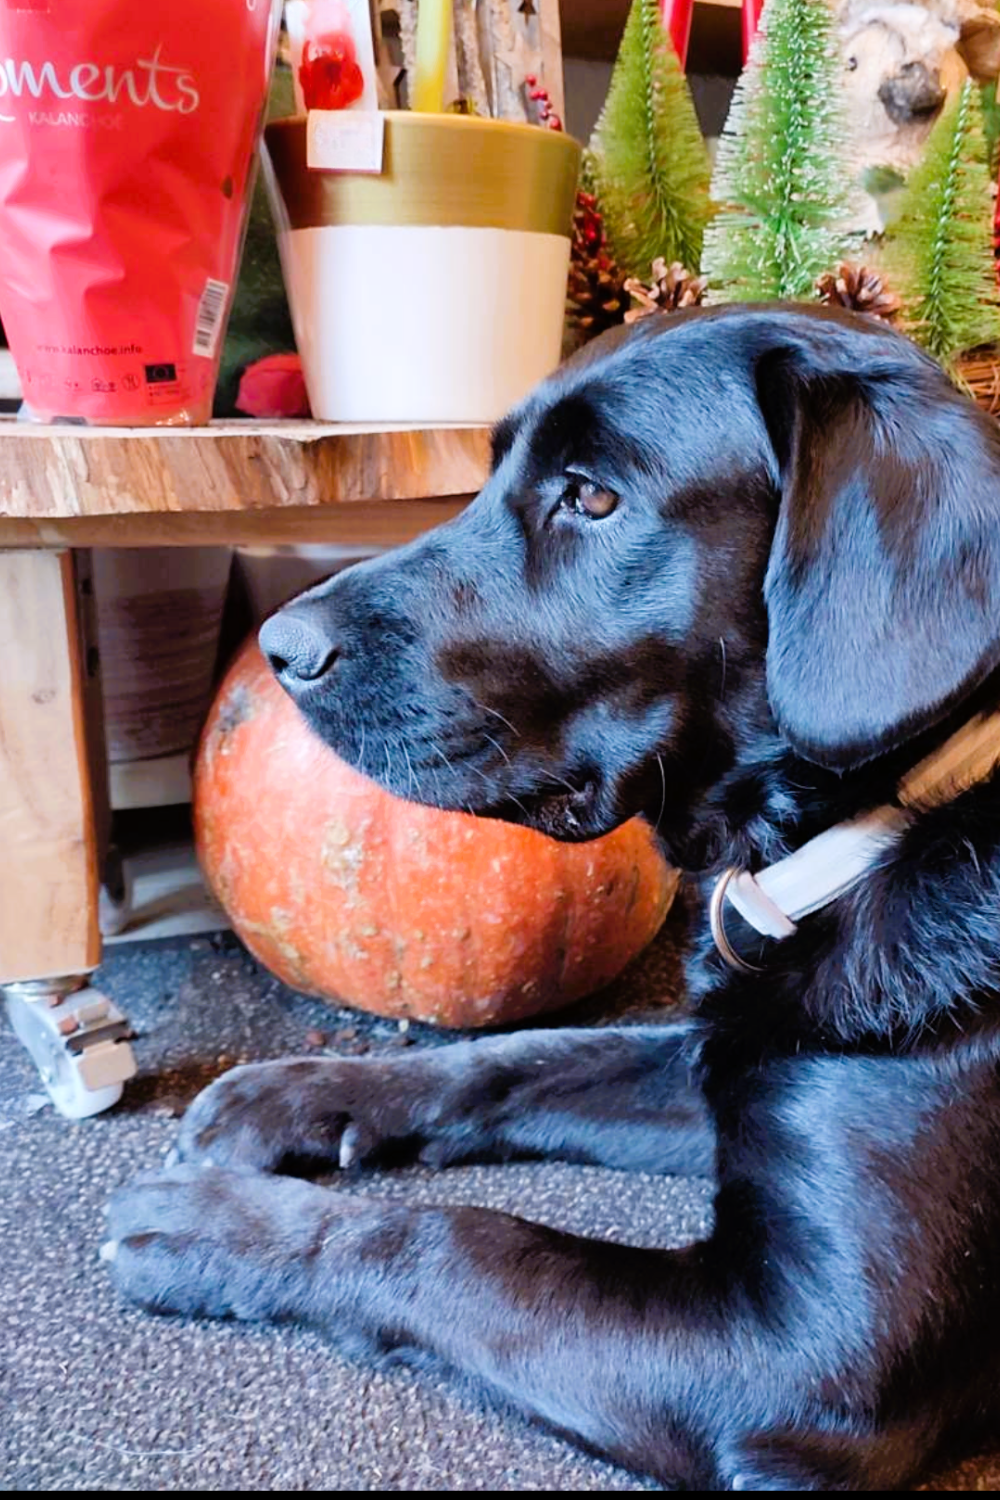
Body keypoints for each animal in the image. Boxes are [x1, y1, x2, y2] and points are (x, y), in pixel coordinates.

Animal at [107, 304, 1000, 1488]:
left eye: (593, 497)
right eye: (495, 476)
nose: (277, 646)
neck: (860, 835)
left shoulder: (805, 1356)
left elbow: (455, 1238)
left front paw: (224, 1228)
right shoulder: (723, 1054)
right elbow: (519, 1055)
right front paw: (305, 1094)